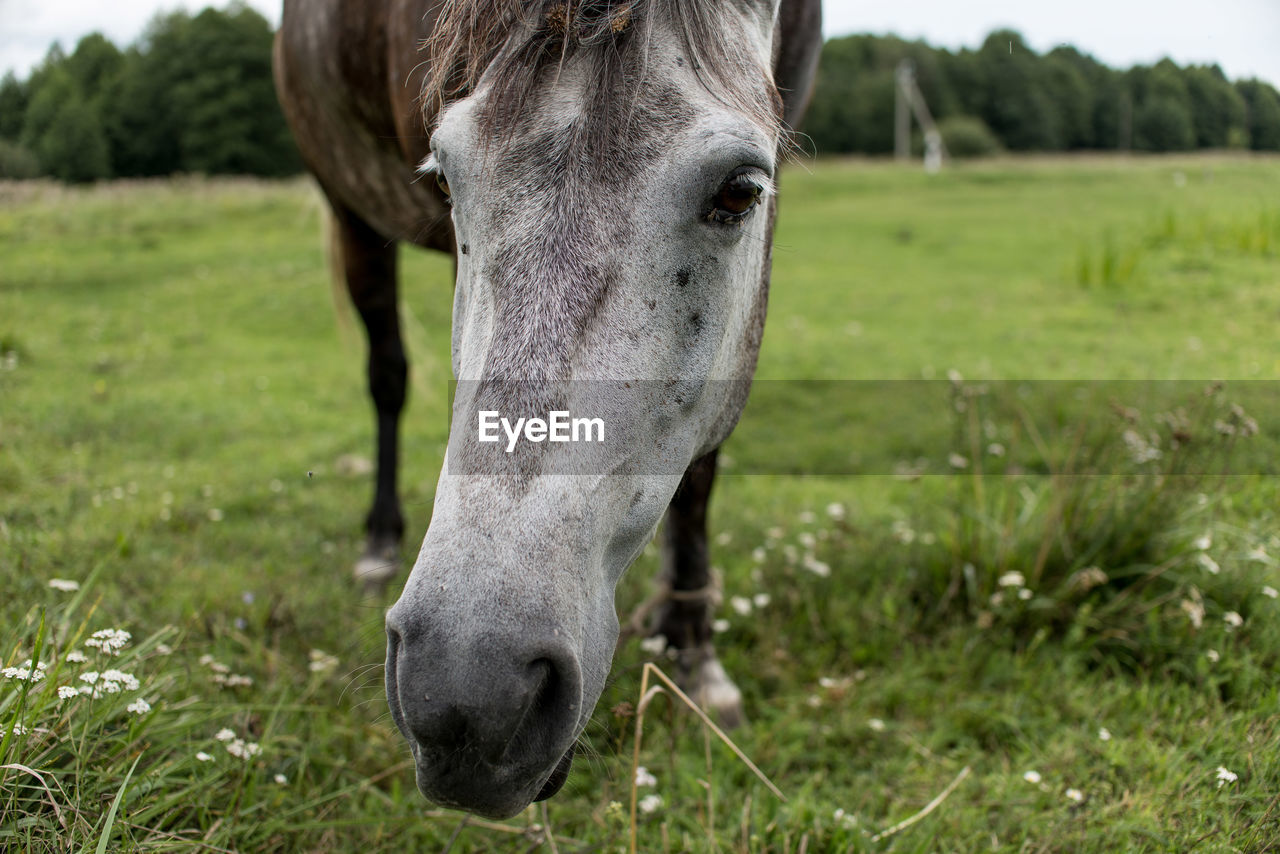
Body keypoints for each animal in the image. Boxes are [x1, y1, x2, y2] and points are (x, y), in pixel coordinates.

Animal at [275, 0, 824, 819]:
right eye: (446, 180)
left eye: (739, 191)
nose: (468, 695)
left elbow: (701, 463)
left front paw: (692, 648)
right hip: (353, 218)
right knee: (388, 375)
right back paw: (378, 543)